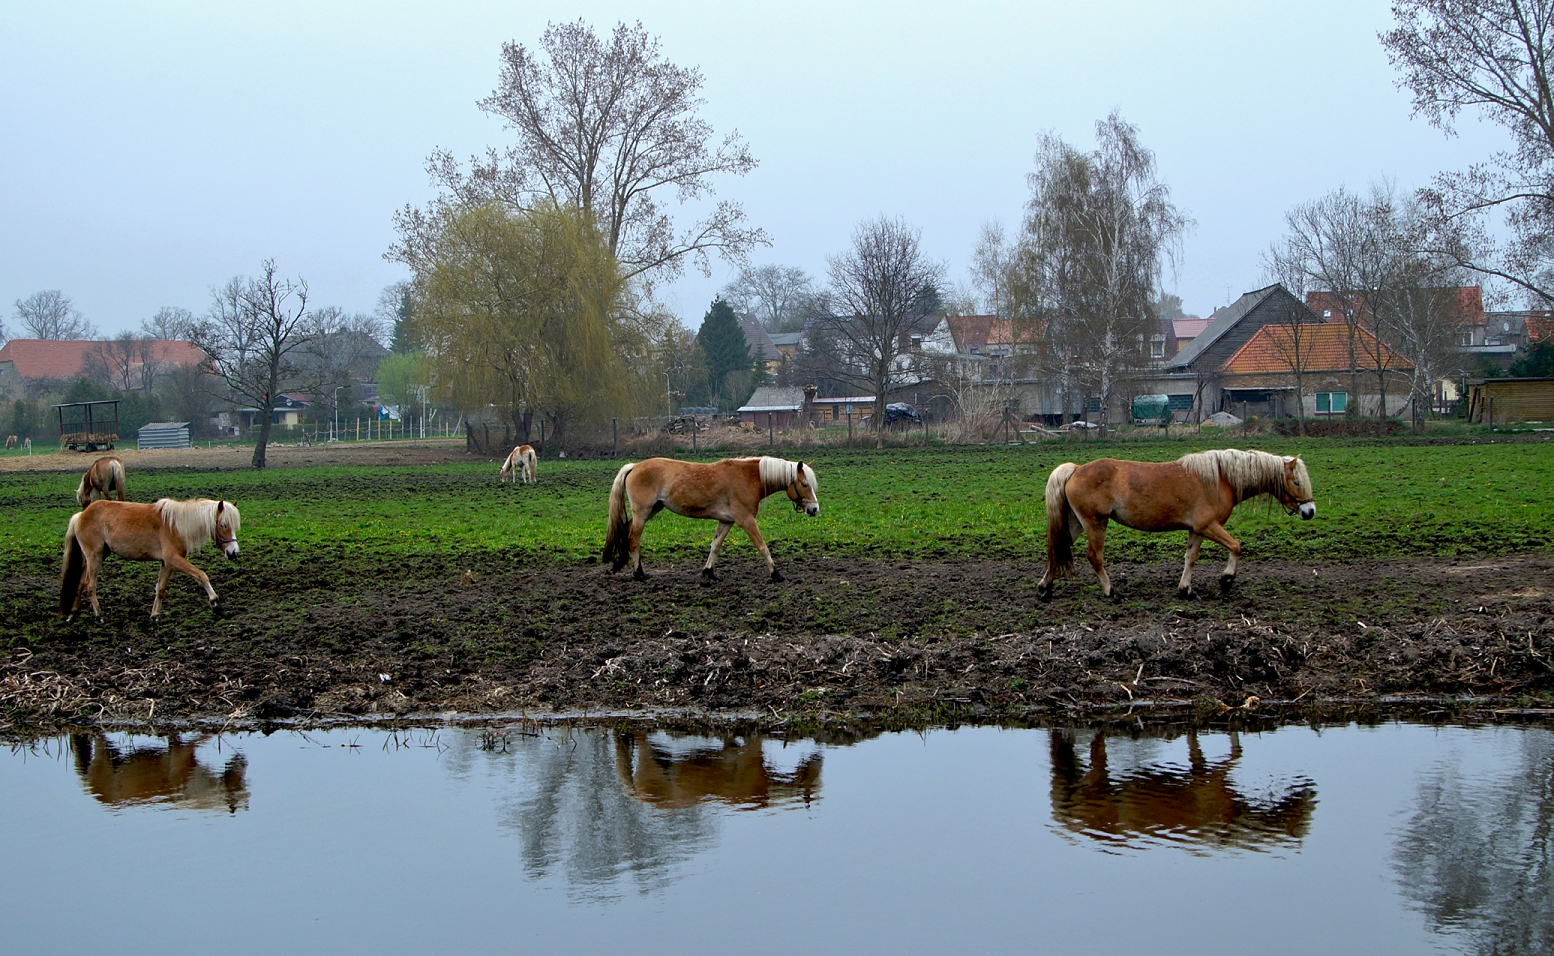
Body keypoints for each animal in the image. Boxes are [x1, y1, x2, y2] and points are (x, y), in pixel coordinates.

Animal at [61, 497, 239, 624]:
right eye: (223, 525)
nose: (233, 552)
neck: (176, 525)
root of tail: (81, 515)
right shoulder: (174, 559)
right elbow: (201, 575)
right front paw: (216, 604)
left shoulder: (167, 563)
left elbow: (160, 588)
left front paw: (155, 616)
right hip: (94, 556)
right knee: (90, 585)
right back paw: (99, 615)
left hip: (98, 556)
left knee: (81, 582)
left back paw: (72, 614)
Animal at [602, 457, 826, 584]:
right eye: (804, 484)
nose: (814, 509)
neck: (748, 477)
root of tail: (634, 466)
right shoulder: (746, 520)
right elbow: (762, 547)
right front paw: (776, 574)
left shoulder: (727, 521)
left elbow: (715, 546)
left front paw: (709, 572)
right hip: (643, 513)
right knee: (634, 539)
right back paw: (639, 573)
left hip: (652, 510)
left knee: (625, 529)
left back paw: (621, 563)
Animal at [1038, 450, 1317, 596]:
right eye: (1297, 482)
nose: (1310, 511)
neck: (1220, 479)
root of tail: (1076, 469)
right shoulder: (1209, 526)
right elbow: (1236, 547)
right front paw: (1227, 578)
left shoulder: (1197, 530)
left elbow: (1190, 558)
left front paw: (1185, 588)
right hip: (1096, 523)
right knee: (1094, 556)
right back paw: (1109, 590)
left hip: (1076, 523)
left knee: (1058, 548)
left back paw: (1045, 585)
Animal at [1050, 733, 1317, 851]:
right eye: (1302, 815)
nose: (1311, 791)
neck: (1231, 823)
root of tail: (1068, 820)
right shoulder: (1208, 779)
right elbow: (1237, 753)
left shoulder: (1200, 771)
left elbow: (1199, 745)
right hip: (1097, 778)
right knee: (1097, 745)